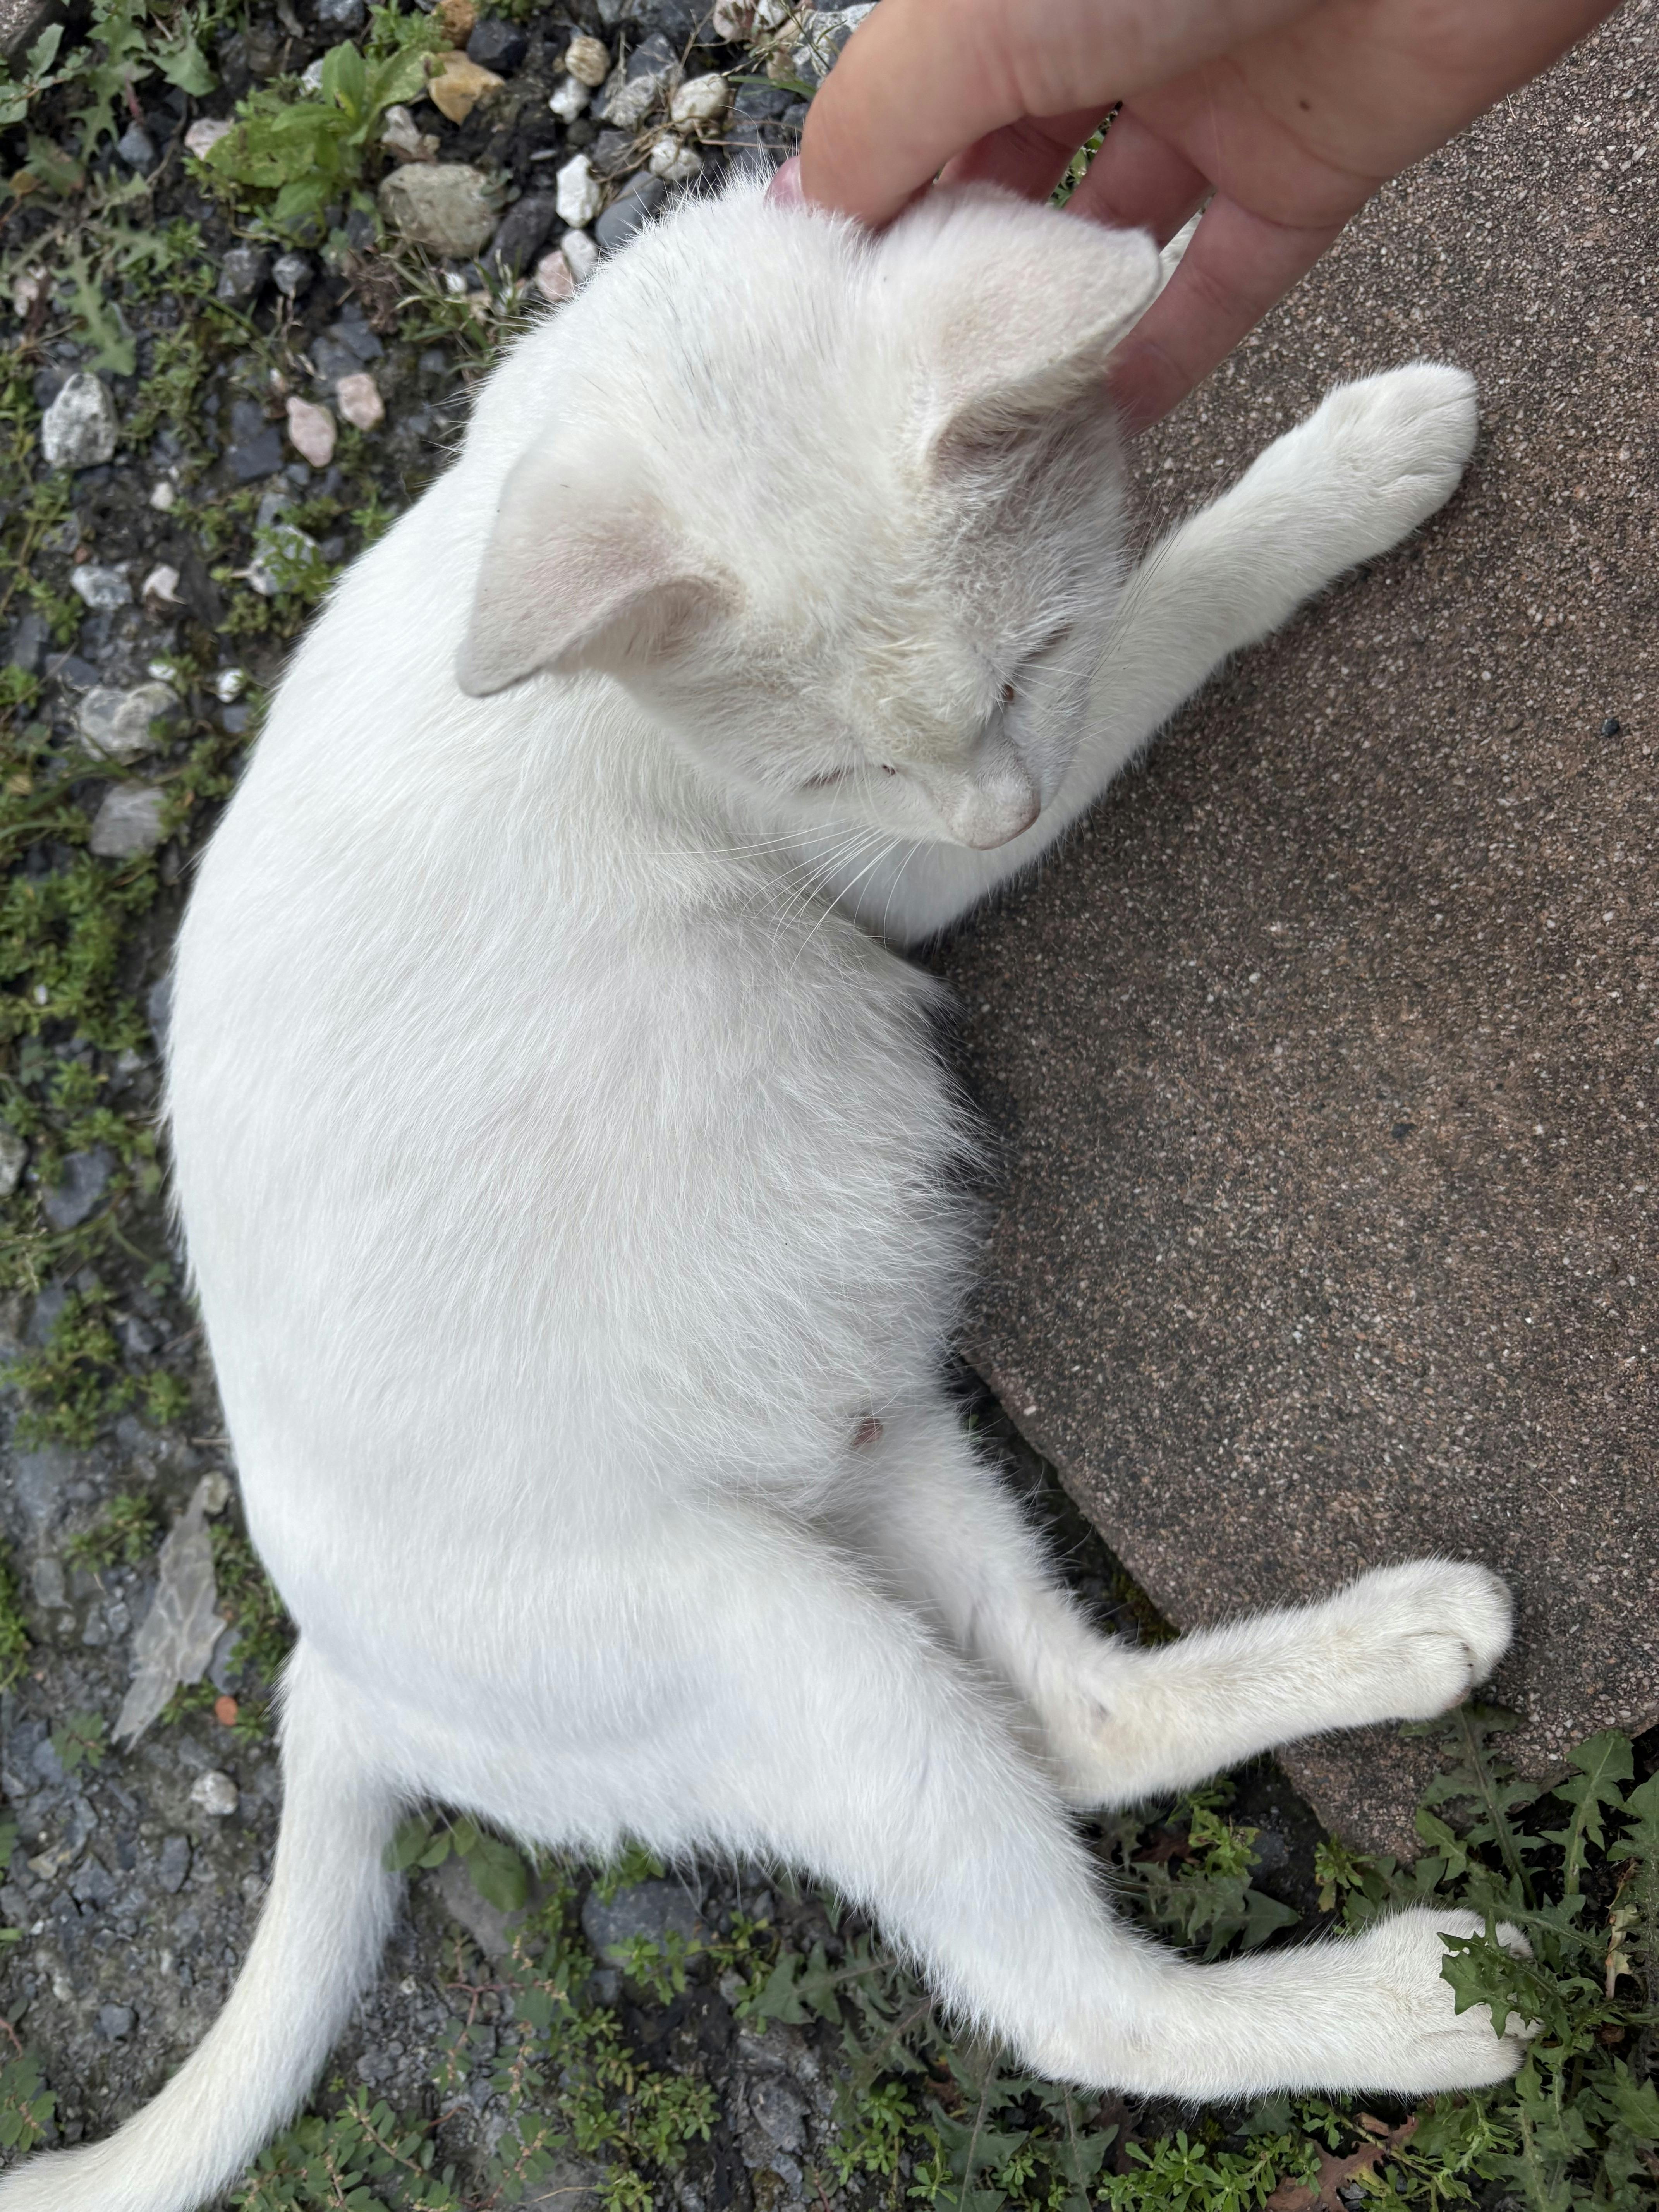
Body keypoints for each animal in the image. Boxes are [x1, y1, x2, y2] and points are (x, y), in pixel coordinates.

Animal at [0, 174, 1529, 2212]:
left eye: (1013, 667)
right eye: (841, 765)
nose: (990, 810)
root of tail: (336, 1672)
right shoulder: (893, 866)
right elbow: (1176, 599)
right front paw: (1344, 473)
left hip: (882, 1435)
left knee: (1076, 1719)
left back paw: (1404, 1640)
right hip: (783, 1657)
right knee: (1071, 2002)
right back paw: (1429, 2002)